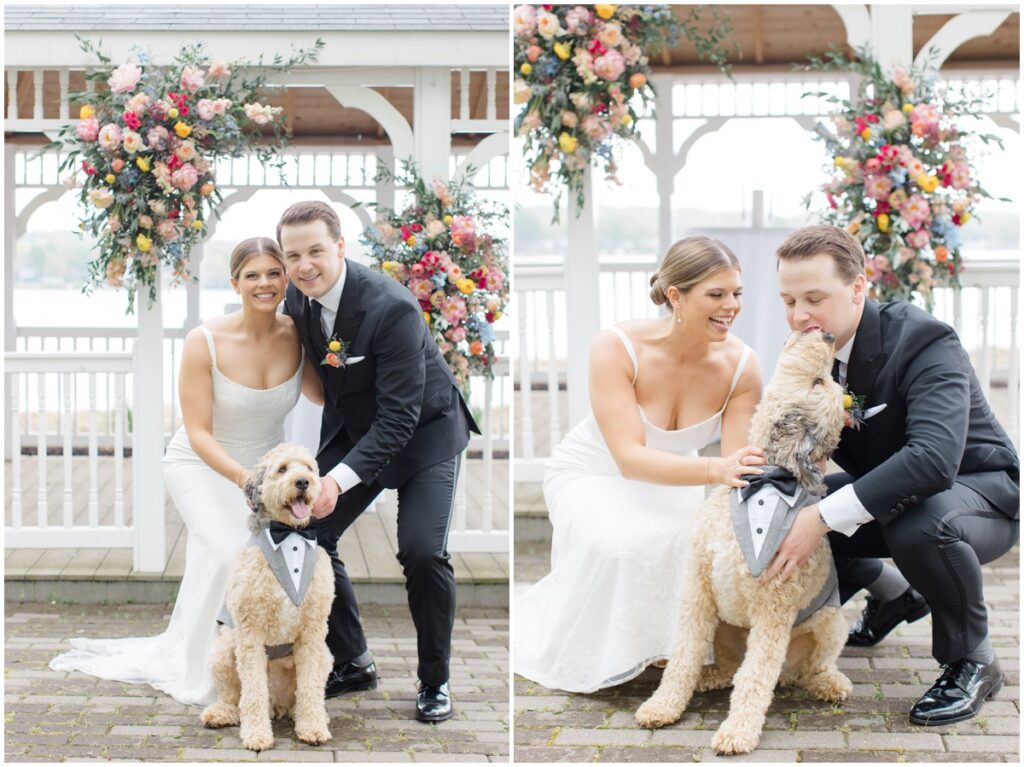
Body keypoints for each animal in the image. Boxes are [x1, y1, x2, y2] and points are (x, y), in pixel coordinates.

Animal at [202, 442, 335, 749]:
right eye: (283, 469)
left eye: (309, 468)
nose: (303, 482)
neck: (290, 536)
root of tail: (279, 705)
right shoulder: (250, 634)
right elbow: (253, 691)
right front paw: (257, 735)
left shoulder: (312, 633)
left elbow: (310, 687)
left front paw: (312, 728)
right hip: (223, 650)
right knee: (234, 696)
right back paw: (222, 713)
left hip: (326, 655)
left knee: (304, 694)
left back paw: (309, 713)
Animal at [634, 329, 851, 753]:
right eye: (821, 382)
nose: (828, 333)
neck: (763, 482)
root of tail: (789, 675)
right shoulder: (698, 589)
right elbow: (684, 654)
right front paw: (663, 705)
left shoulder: (773, 609)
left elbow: (756, 676)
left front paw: (737, 732)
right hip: (724, 629)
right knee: (731, 668)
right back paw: (709, 677)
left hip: (831, 623)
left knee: (807, 667)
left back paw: (830, 682)